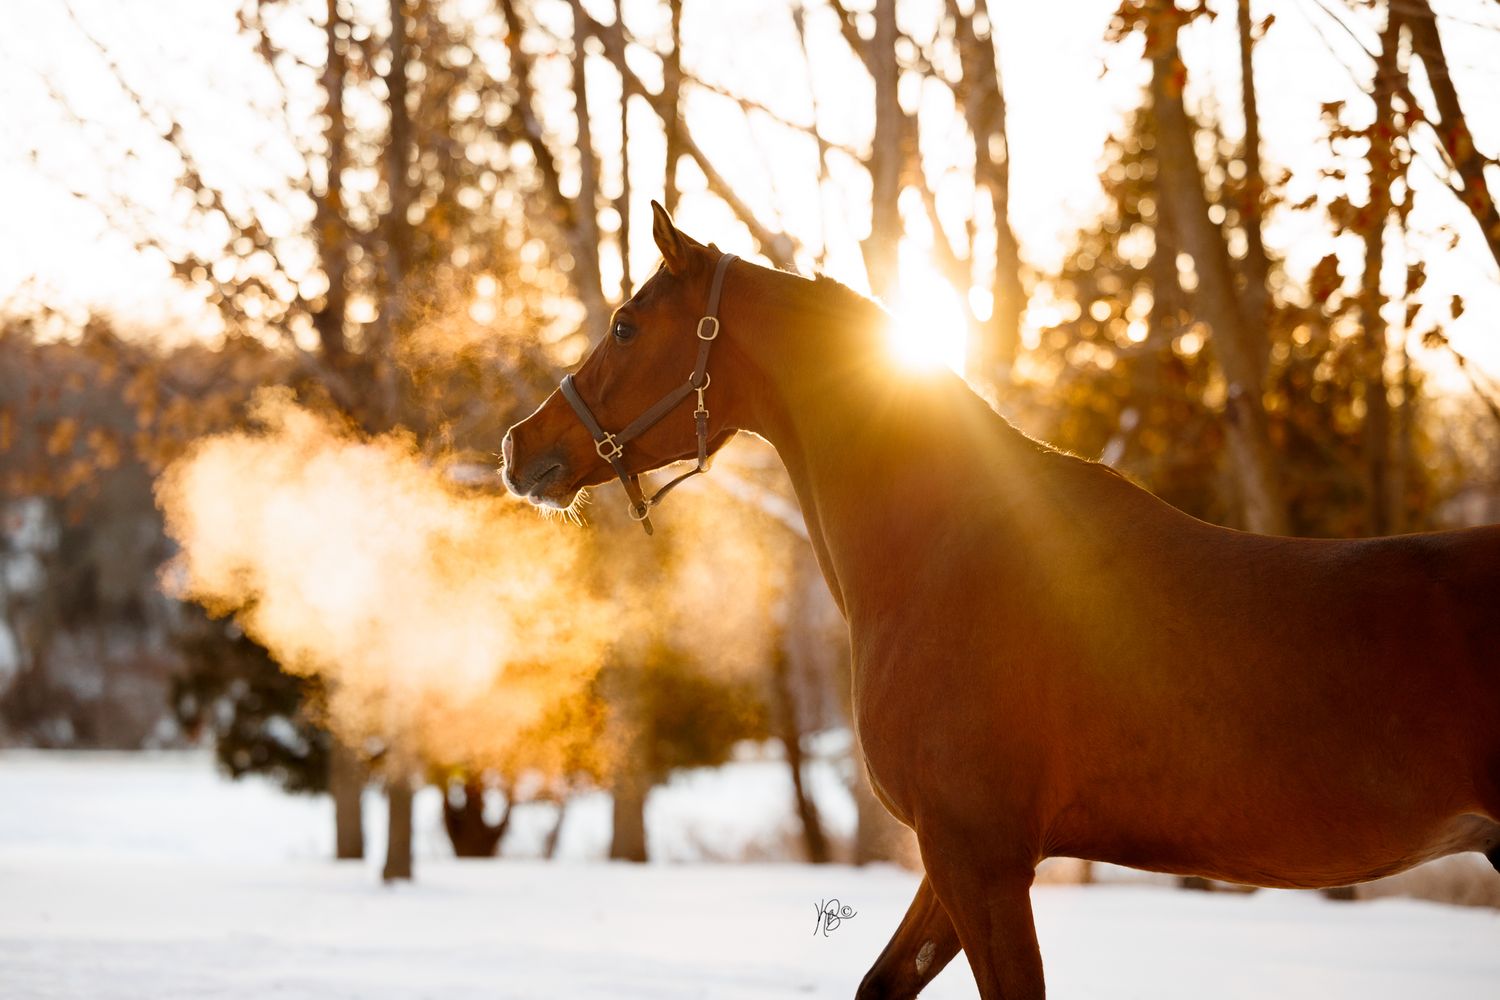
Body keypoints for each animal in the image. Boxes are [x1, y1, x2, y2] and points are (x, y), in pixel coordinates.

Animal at [502, 203, 1500, 999]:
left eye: (627, 326)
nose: (520, 448)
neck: (951, 555)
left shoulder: (979, 858)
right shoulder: (952, 859)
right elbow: (878, 984)